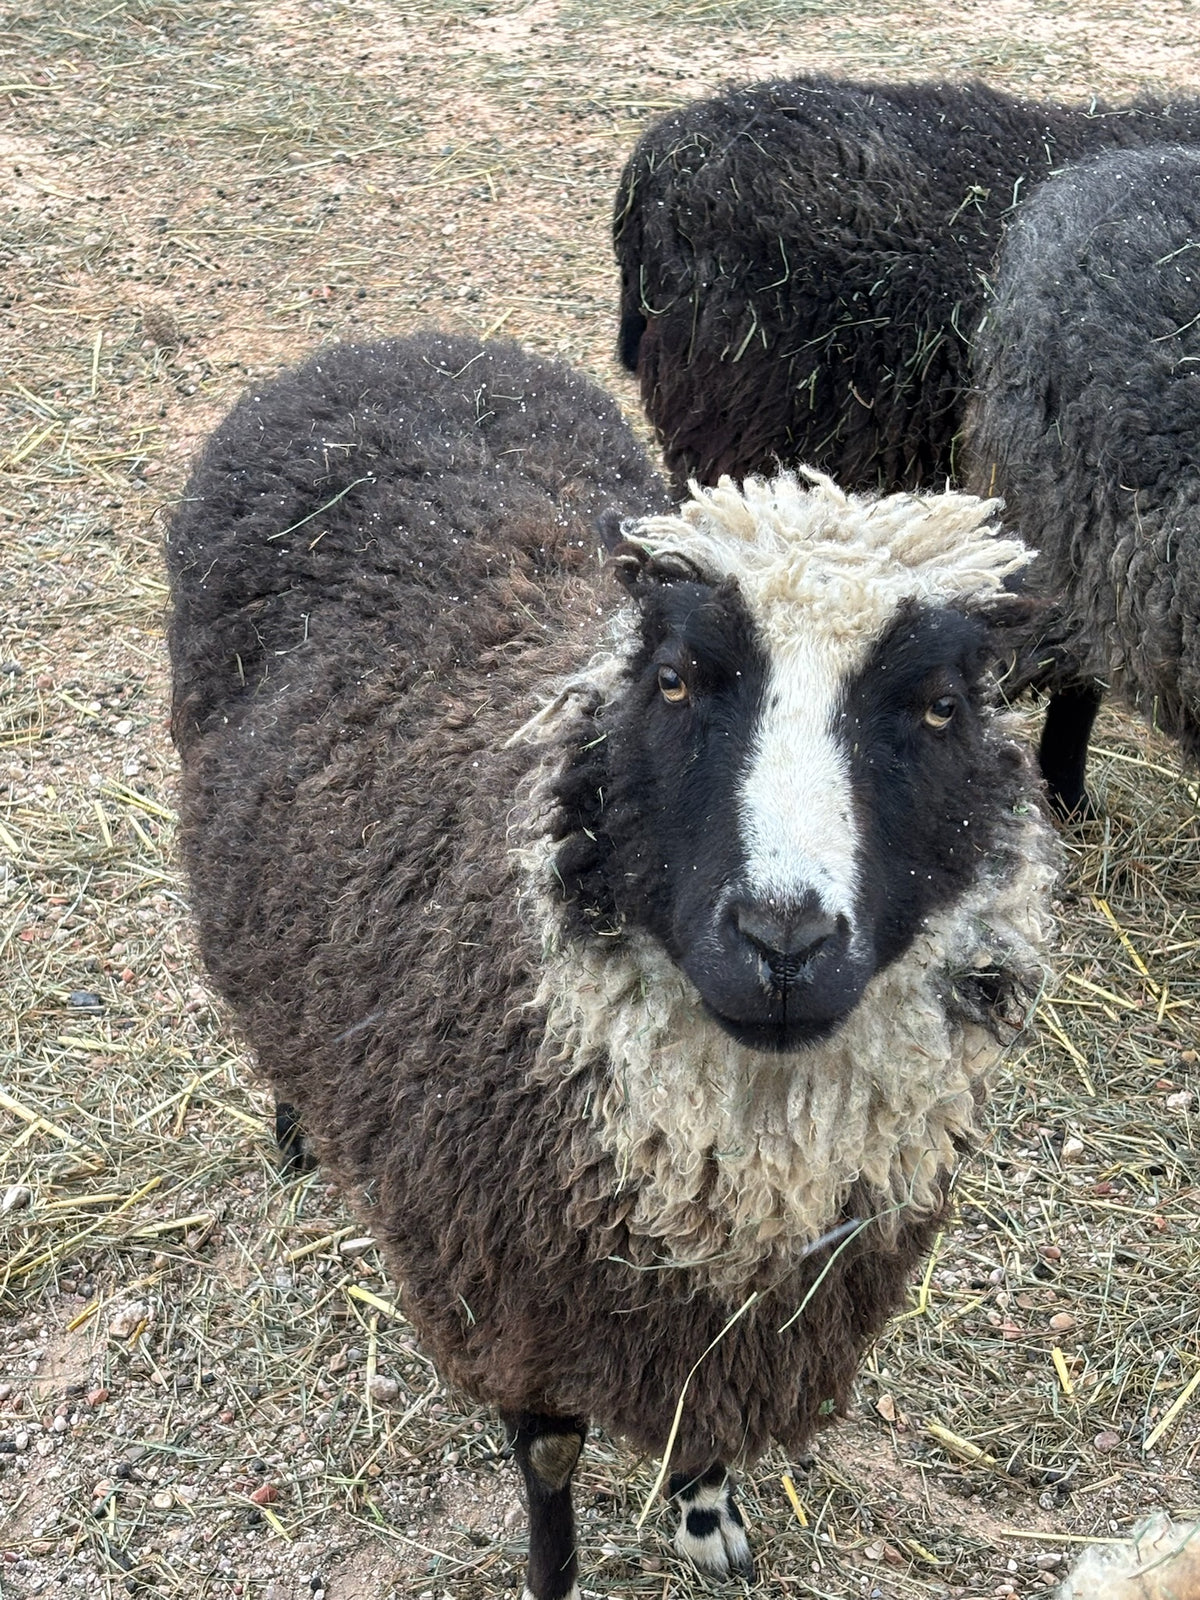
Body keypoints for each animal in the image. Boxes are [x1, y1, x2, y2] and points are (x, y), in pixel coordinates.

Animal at [167, 330, 1058, 1599]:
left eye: (939, 705)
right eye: (676, 678)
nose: (782, 940)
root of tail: (379, 348)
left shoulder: (714, 1329)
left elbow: (702, 1431)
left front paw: (707, 1512)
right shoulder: (521, 1308)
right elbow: (548, 1472)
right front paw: (560, 1574)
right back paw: (295, 1121)